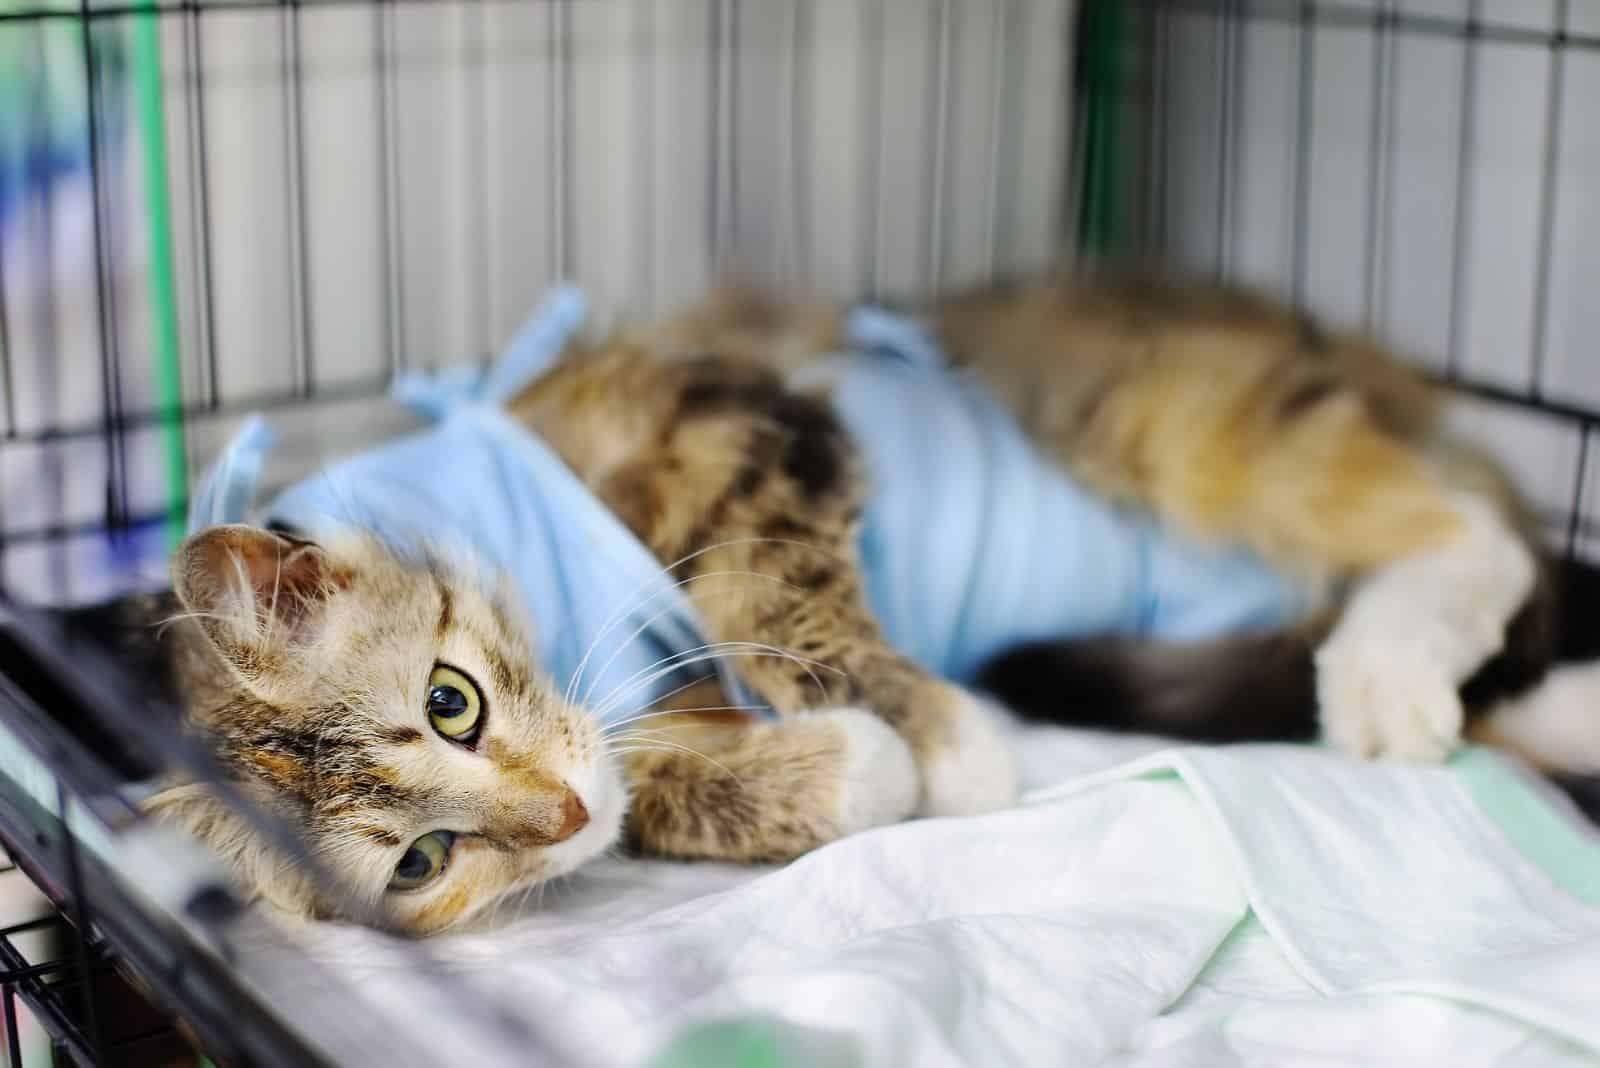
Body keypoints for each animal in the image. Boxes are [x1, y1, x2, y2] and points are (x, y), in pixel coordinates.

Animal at [100, 278, 1587, 933]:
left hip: (1168, 423)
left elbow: (768, 584)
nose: (558, 819)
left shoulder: (731, 423)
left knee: (1472, 537)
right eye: (421, 861)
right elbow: (658, 788)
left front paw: (953, 746)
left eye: (449, 700)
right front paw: (853, 772)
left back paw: (1388, 681)